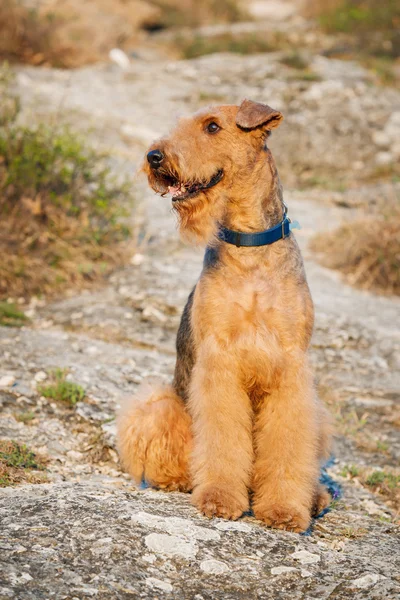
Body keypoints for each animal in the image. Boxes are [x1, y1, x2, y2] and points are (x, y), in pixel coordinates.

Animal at [117, 101, 332, 532]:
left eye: (212, 127)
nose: (154, 156)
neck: (249, 246)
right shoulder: (220, 361)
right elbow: (222, 439)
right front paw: (219, 498)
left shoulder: (291, 370)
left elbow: (287, 447)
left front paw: (284, 509)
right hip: (162, 403)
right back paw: (182, 480)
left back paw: (315, 497)